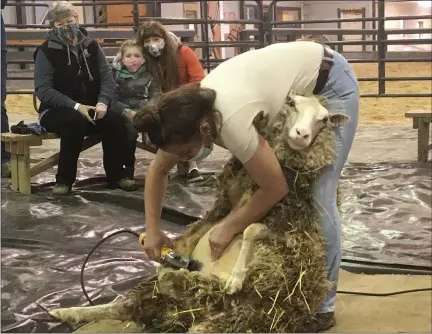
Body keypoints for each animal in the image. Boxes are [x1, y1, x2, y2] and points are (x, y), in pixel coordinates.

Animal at [48, 92, 344, 332]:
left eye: (324, 120)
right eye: (292, 104)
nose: (301, 135)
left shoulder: (282, 235)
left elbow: (251, 228)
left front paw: (235, 279)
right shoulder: (235, 189)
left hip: (226, 316)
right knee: (123, 304)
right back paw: (65, 311)